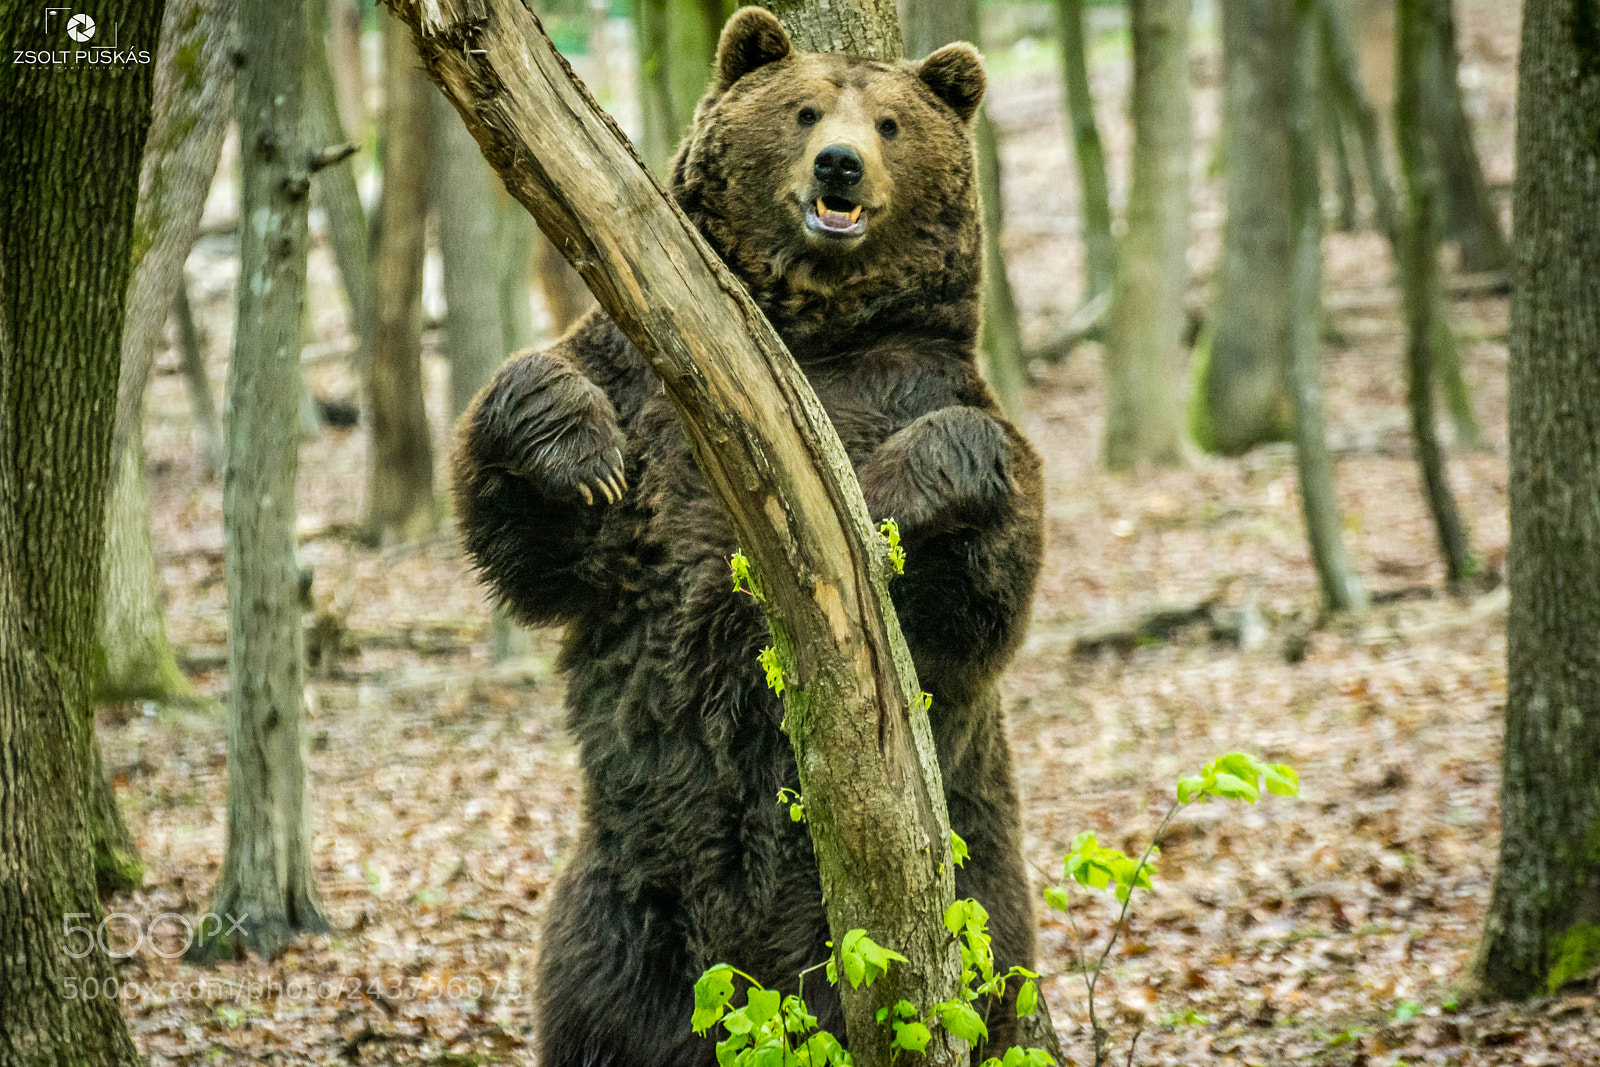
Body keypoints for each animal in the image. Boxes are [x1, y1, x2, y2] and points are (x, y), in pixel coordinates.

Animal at [451, 9, 1045, 1064]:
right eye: (804, 110)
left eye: (890, 122)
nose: (839, 165)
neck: (810, 333)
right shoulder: (646, 393)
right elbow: (541, 521)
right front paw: (576, 452)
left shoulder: (917, 380)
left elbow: (982, 581)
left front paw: (894, 494)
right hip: (626, 898)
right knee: (593, 1001)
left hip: (959, 906)